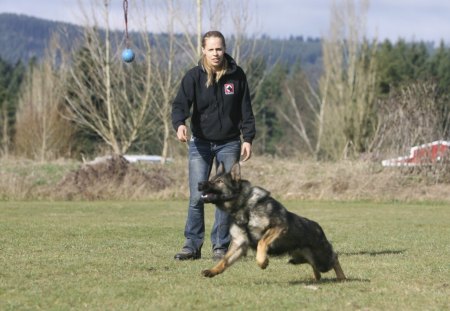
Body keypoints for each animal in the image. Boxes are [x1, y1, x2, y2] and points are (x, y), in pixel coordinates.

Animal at [199, 163, 346, 282]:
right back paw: (316, 278)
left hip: (322, 260)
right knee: (317, 269)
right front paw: (213, 270)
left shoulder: (279, 226)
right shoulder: (239, 244)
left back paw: (341, 278)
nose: (199, 184)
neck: (244, 206)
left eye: (219, 181)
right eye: (211, 179)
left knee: (334, 257)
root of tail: (318, 227)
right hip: (304, 257)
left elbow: (261, 242)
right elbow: (224, 260)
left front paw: (262, 261)